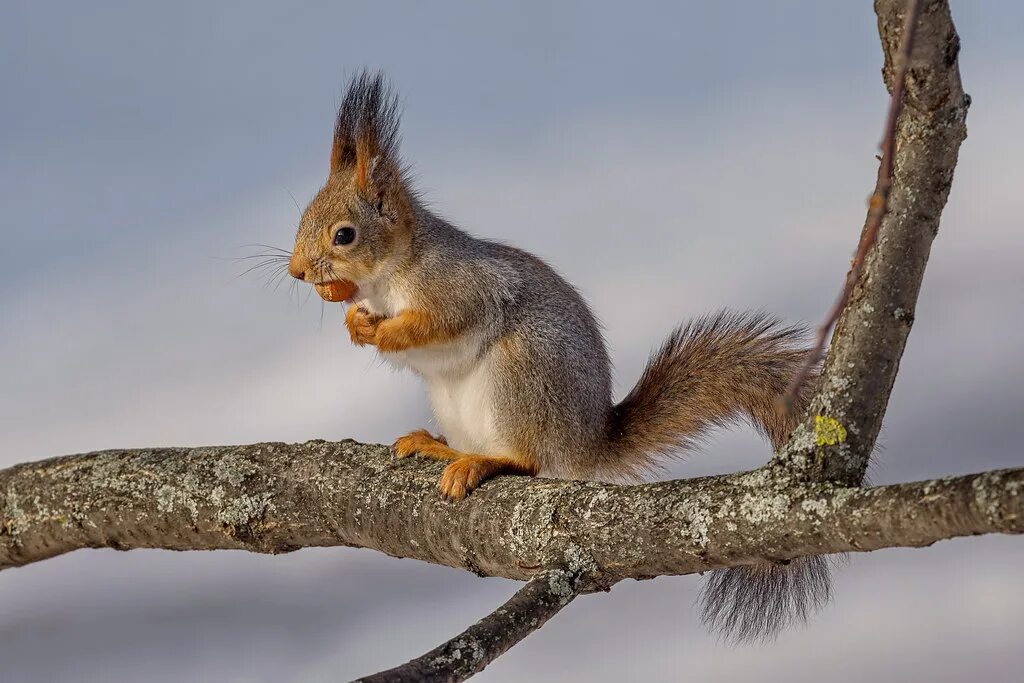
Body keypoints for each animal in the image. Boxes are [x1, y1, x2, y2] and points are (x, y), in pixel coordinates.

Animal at [284, 72, 827, 643]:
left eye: (344, 234)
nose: (297, 271)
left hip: (521, 372)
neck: (389, 276)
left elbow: (437, 323)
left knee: (527, 460)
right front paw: (355, 324)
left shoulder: (460, 288)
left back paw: (480, 462)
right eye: (303, 219)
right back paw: (437, 447)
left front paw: (385, 333)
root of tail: (585, 442)